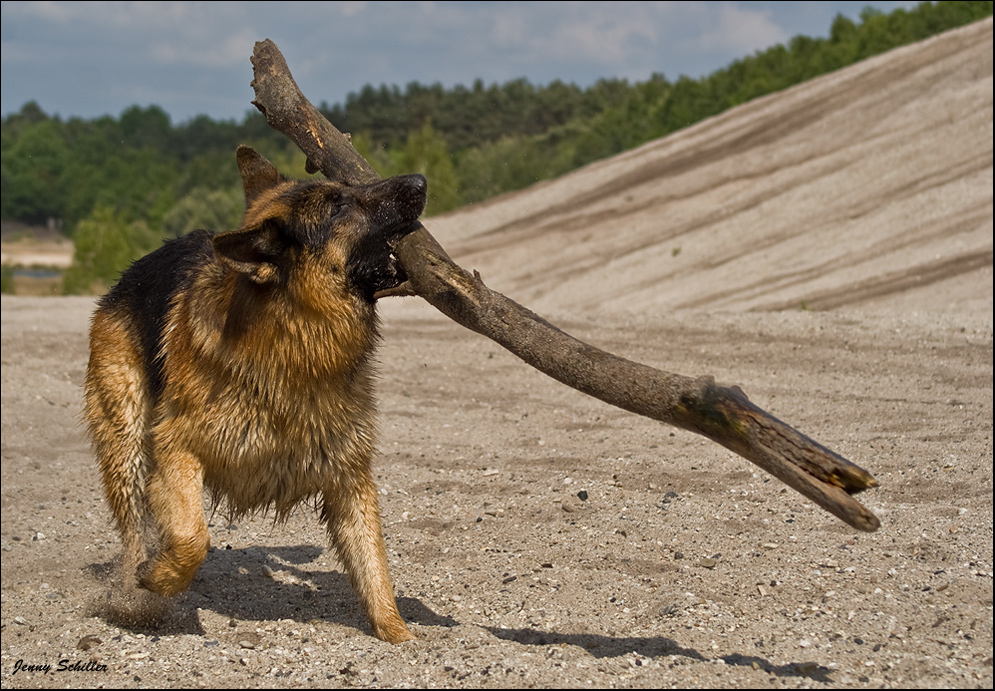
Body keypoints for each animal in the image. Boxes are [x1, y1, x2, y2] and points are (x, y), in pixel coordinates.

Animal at [86, 146, 428, 644]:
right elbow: (194, 537)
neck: (292, 342)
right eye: (339, 206)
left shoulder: (349, 475)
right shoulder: (176, 450)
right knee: (134, 530)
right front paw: (161, 578)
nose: (421, 180)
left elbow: (374, 562)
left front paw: (398, 632)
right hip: (126, 439)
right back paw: (134, 595)